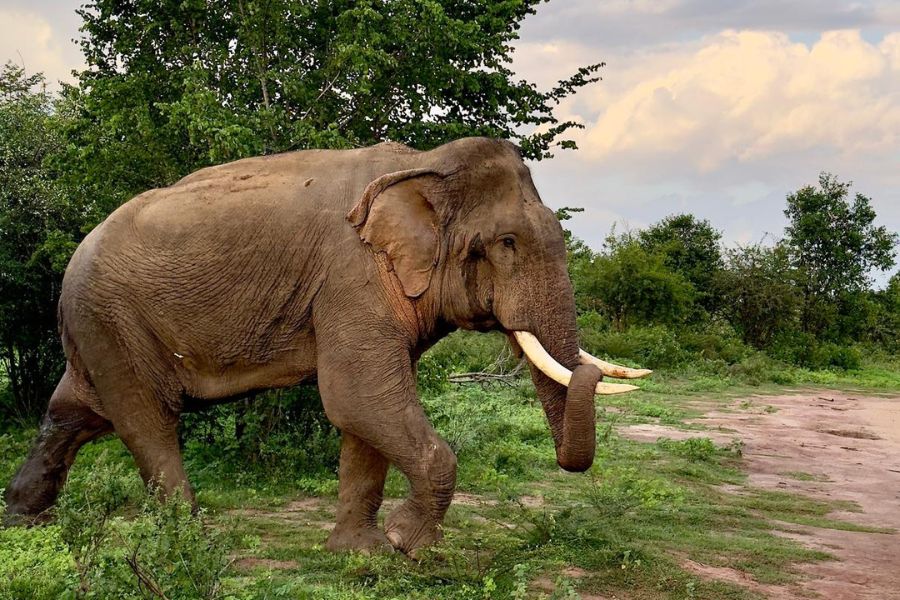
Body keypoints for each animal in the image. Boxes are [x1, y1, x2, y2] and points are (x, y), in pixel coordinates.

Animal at [1, 138, 648, 556]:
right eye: (507, 242)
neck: (423, 165)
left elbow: (363, 416)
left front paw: (360, 553)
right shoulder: (350, 277)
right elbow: (356, 396)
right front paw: (408, 545)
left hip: (99, 329)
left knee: (74, 412)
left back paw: (24, 521)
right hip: (110, 318)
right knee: (145, 418)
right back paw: (191, 540)